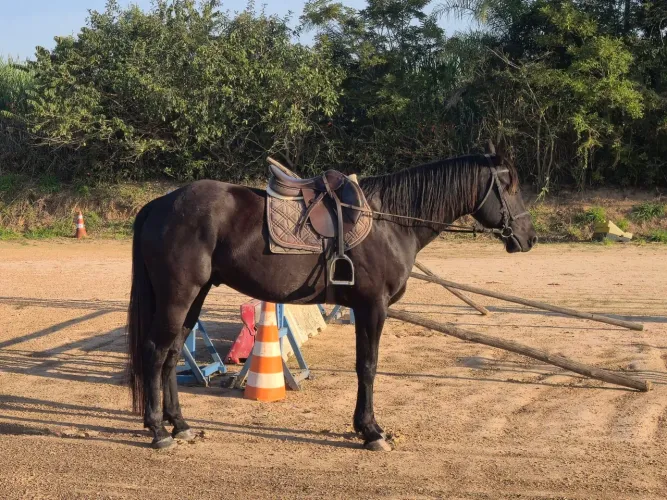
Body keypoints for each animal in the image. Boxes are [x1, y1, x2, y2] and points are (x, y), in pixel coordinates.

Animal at [126, 152, 538, 451]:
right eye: (509, 186)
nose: (529, 237)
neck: (391, 223)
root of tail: (159, 205)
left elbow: (365, 366)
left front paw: (366, 427)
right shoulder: (372, 307)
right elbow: (367, 367)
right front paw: (371, 431)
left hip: (194, 296)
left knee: (172, 354)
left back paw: (180, 425)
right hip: (179, 296)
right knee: (155, 351)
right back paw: (158, 431)